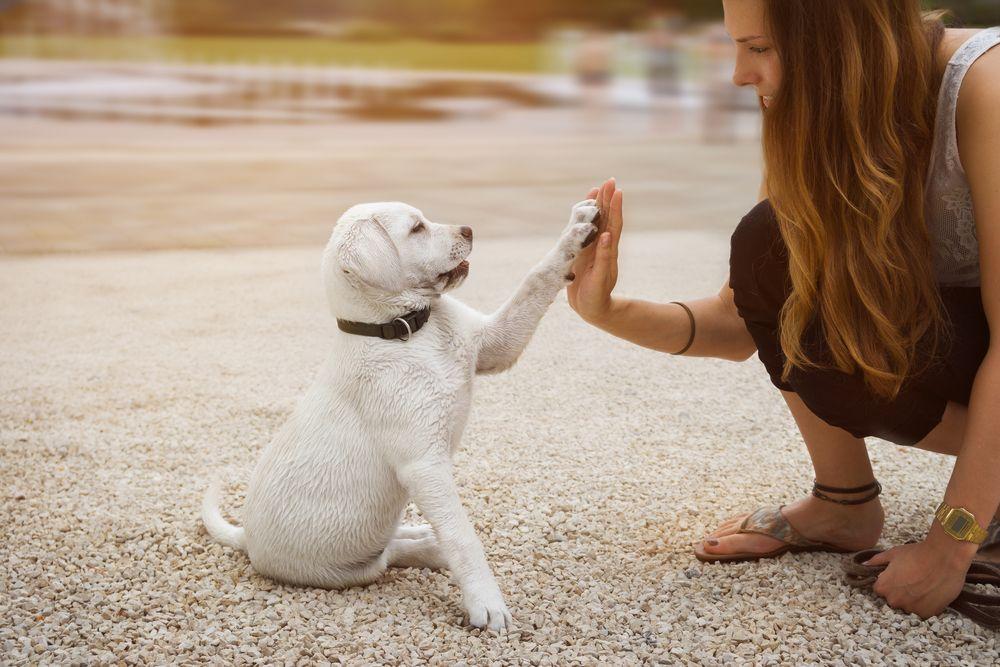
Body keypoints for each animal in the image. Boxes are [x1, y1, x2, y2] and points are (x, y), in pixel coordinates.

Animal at [199, 198, 596, 632]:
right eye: (417, 229)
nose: (469, 230)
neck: (408, 330)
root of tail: (246, 539)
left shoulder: (495, 345)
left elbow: (535, 279)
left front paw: (576, 230)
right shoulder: (424, 465)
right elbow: (461, 535)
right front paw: (486, 602)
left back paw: (425, 538)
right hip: (350, 568)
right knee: (390, 555)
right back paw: (430, 549)